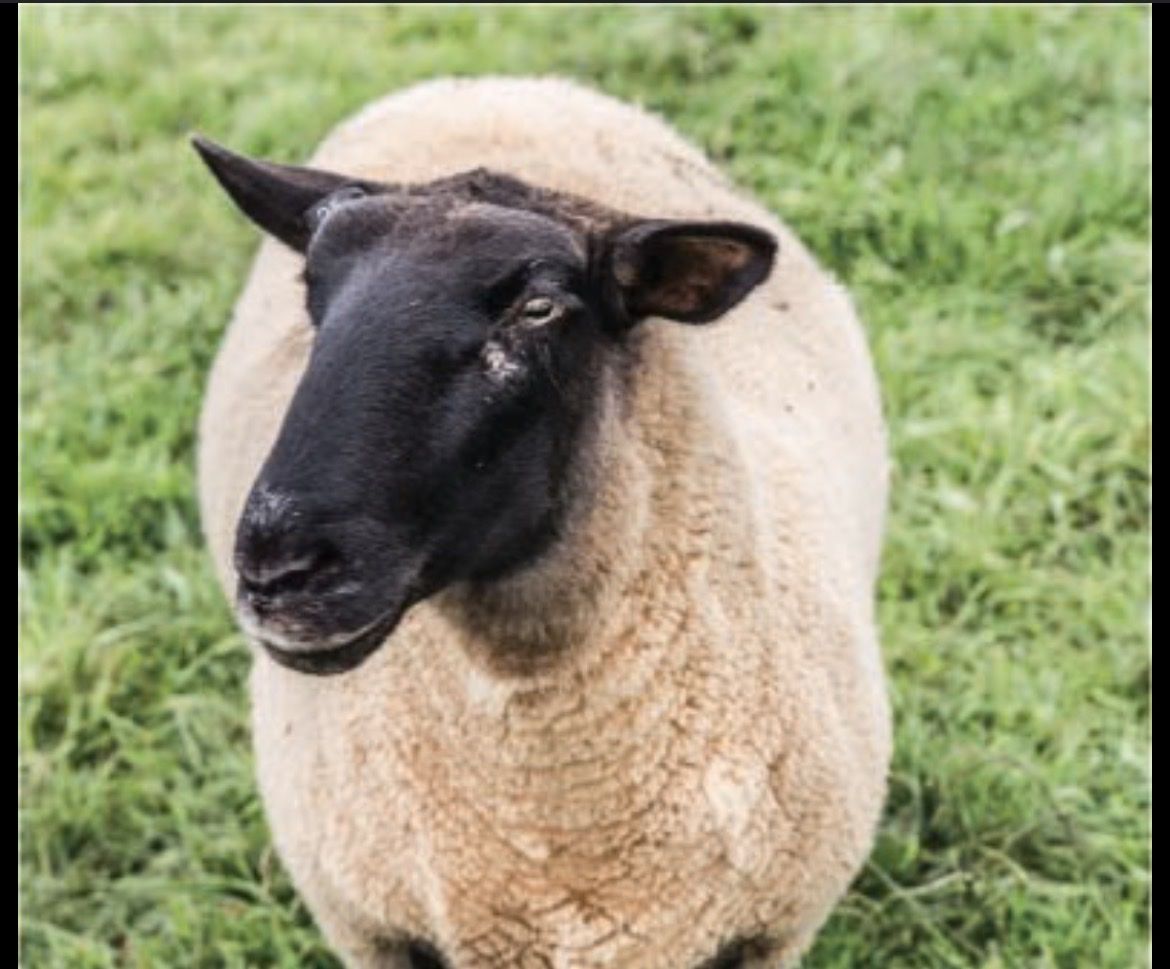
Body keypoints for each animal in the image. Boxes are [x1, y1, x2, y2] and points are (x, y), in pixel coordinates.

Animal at [195, 77, 892, 969]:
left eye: (538, 308)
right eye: (312, 295)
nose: (280, 569)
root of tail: (489, 83)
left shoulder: (771, 934)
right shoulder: (373, 931)